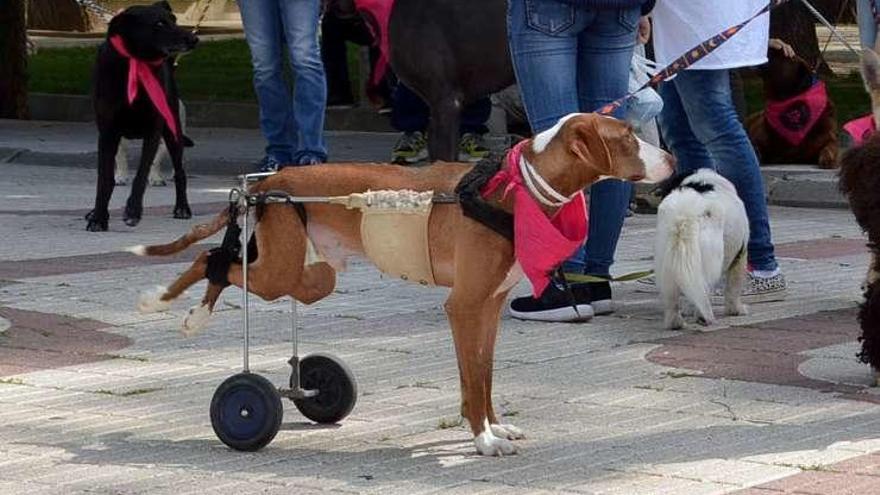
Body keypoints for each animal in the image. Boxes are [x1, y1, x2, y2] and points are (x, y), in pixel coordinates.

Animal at [85, 0, 197, 233]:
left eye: (174, 19)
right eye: (159, 24)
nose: (194, 39)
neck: (135, 63)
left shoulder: (153, 131)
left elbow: (142, 173)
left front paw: (133, 212)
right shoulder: (108, 133)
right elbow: (105, 178)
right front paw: (98, 217)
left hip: (173, 129)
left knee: (179, 172)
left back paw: (182, 208)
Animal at [129, 113, 672, 458]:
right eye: (627, 137)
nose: (669, 159)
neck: (516, 187)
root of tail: (268, 183)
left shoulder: (489, 308)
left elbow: (484, 375)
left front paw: (493, 426)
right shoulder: (464, 306)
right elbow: (472, 380)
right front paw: (482, 440)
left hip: (313, 277)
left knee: (227, 263)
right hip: (279, 271)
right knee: (213, 259)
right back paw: (175, 308)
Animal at [652, 170, 748, 330]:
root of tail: (684, 213)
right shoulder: (740, 257)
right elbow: (733, 288)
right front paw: (736, 310)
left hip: (666, 261)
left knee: (673, 297)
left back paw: (675, 323)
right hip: (710, 259)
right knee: (704, 290)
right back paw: (704, 318)